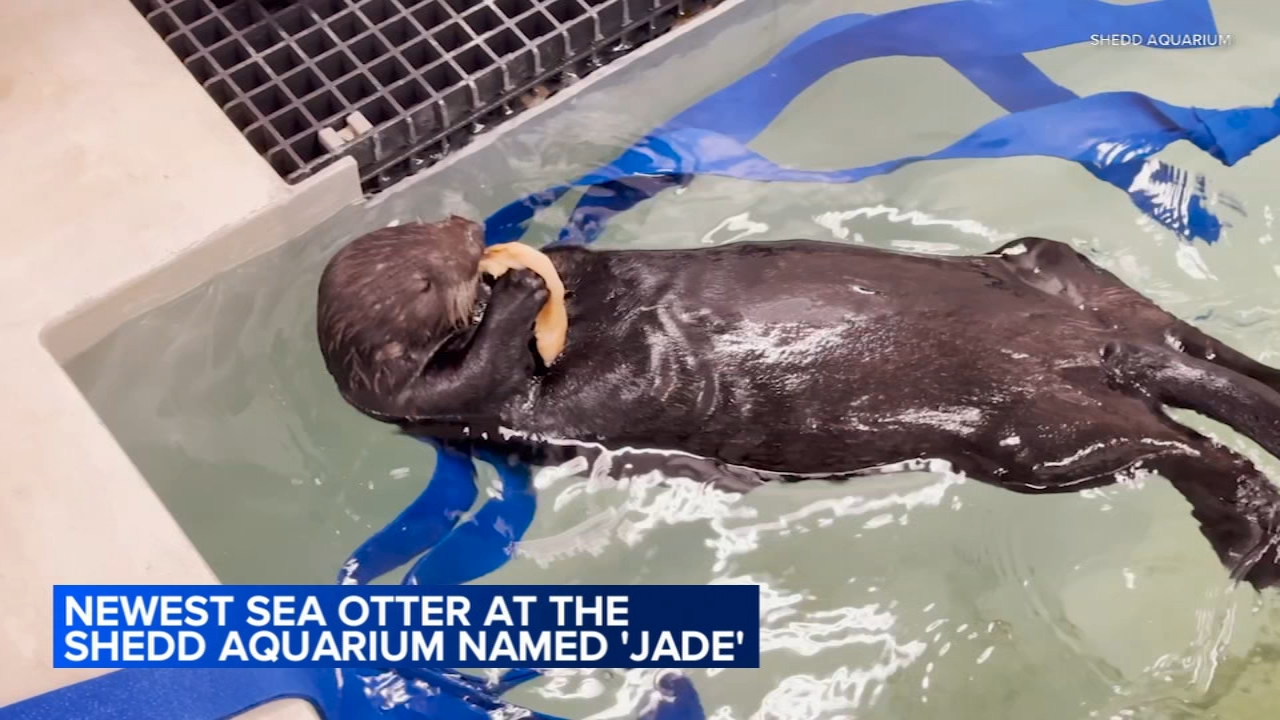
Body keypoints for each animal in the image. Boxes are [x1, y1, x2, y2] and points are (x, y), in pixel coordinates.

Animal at [316, 215, 1280, 588]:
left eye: (429, 230)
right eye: (426, 277)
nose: (472, 235)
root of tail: (1087, 346)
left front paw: (544, 263)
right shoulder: (473, 408)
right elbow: (485, 378)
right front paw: (518, 293)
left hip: (1063, 273)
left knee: (1195, 358)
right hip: (1041, 435)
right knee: (1192, 448)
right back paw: (1252, 537)